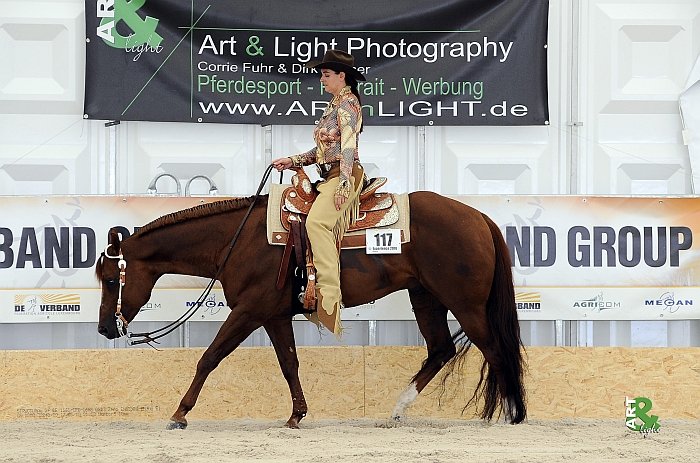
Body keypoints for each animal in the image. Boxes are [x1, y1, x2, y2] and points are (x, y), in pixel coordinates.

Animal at [95, 190, 526, 429]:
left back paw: (512, 413)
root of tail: (478, 217)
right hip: (426, 297)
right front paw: (297, 415)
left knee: (495, 349)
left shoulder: (248, 311)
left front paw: (179, 414)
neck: (238, 240)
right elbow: (289, 363)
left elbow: (209, 357)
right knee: (441, 349)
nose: (104, 329)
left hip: (465, 303)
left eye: (112, 279)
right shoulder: (272, 315)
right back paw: (397, 410)